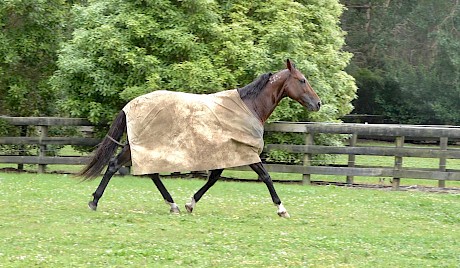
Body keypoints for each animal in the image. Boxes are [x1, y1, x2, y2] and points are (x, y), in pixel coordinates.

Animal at [78, 58, 320, 218]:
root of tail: (130, 105)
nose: (318, 103)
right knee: (114, 165)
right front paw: (282, 209)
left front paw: (190, 204)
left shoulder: (226, 153)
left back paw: (173, 205)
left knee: (150, 172)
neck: (249, 107)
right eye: (302, 80)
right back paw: (94, 202)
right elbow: (267, 177)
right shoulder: (246, 153)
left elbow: (213, 179)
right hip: (137, 147)